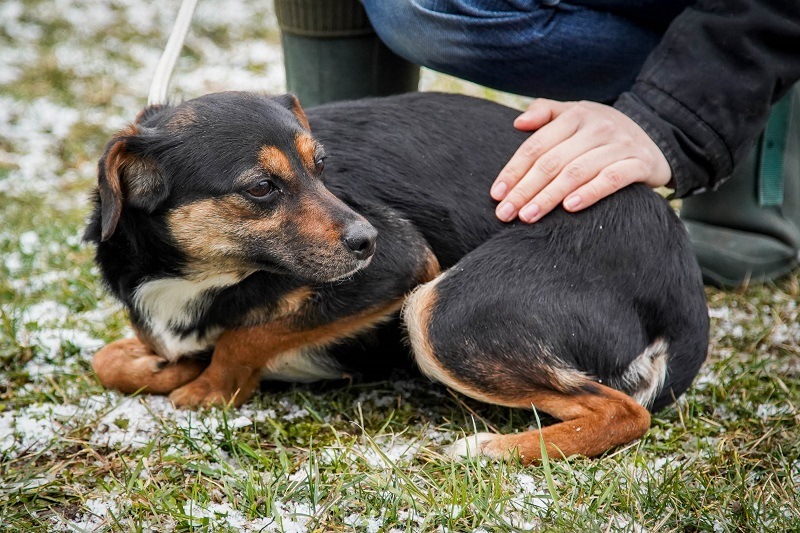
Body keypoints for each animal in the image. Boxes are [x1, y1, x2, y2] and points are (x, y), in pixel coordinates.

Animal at [86, 91, 708, 462]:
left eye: (322, 168)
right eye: (261, 187)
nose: (366, 240)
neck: (198, 276)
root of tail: (684, 286)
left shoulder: (399, 265)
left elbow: (246, 336)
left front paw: (209, 389)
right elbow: (109, 359)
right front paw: (166, 367)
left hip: (445, 313)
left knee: (623, 411)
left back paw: (493, 449)